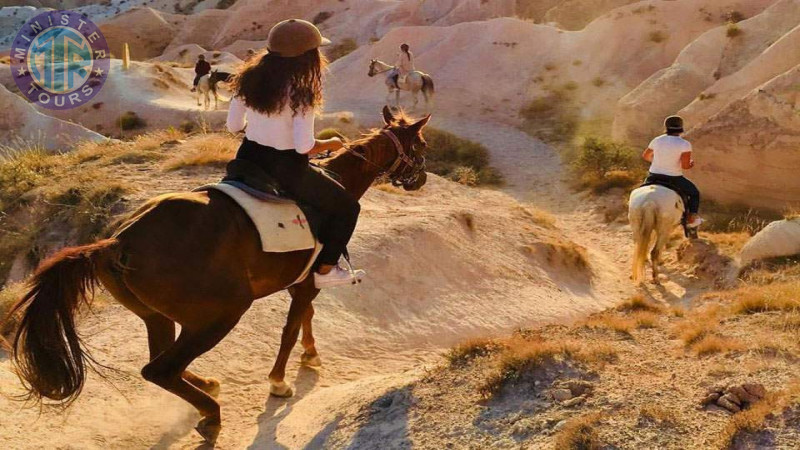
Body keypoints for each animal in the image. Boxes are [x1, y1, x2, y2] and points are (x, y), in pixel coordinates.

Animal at [6, 107, 432, 444]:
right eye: (422, 147)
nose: (421, 180)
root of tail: (117, 241)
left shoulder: (301, 283)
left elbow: (305, 319)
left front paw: (310, 354)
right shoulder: (308, 281)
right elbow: (291, 328)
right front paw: (279, 380)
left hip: (157, 315)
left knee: (163, 360)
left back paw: (203, 385)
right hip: (221, 313)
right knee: (160, 368)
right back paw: (210, 412)